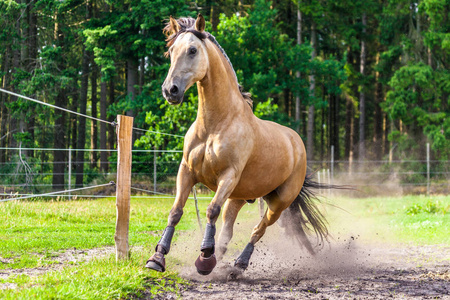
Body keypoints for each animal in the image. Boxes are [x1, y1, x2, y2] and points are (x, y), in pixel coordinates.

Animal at [147, 14, 326, 276]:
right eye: (171, 51)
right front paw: (158, 257)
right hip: (240, 197)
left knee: (258, 229)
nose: (170, 90)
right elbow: (175, 212)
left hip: (278, 203)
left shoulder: (228, 176)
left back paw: (237, 264)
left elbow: (211, 210)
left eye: (192, 50)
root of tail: (297, 143)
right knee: (228, 231)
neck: (215, 125)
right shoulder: (186, 172)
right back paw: (218, 261)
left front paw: (204, 257)